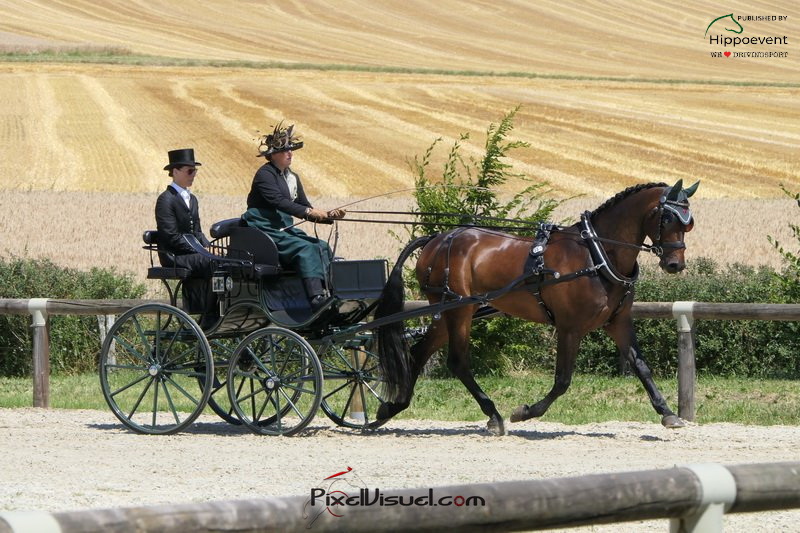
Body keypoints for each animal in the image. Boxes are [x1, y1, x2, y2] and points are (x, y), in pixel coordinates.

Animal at [372, 179, 696, 432]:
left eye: (689, 222)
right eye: (667, 219)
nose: (675, 264)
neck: (596, 254)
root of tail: (437, 239)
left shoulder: (618, 323)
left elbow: (641, 366)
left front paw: (668, 413)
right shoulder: (569, 328)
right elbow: (563, 380)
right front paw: (525, 412)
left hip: (448, 312)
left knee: (419, 353)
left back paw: (391, 408)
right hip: (458, 310)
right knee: (457, 361)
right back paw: (493, 415)